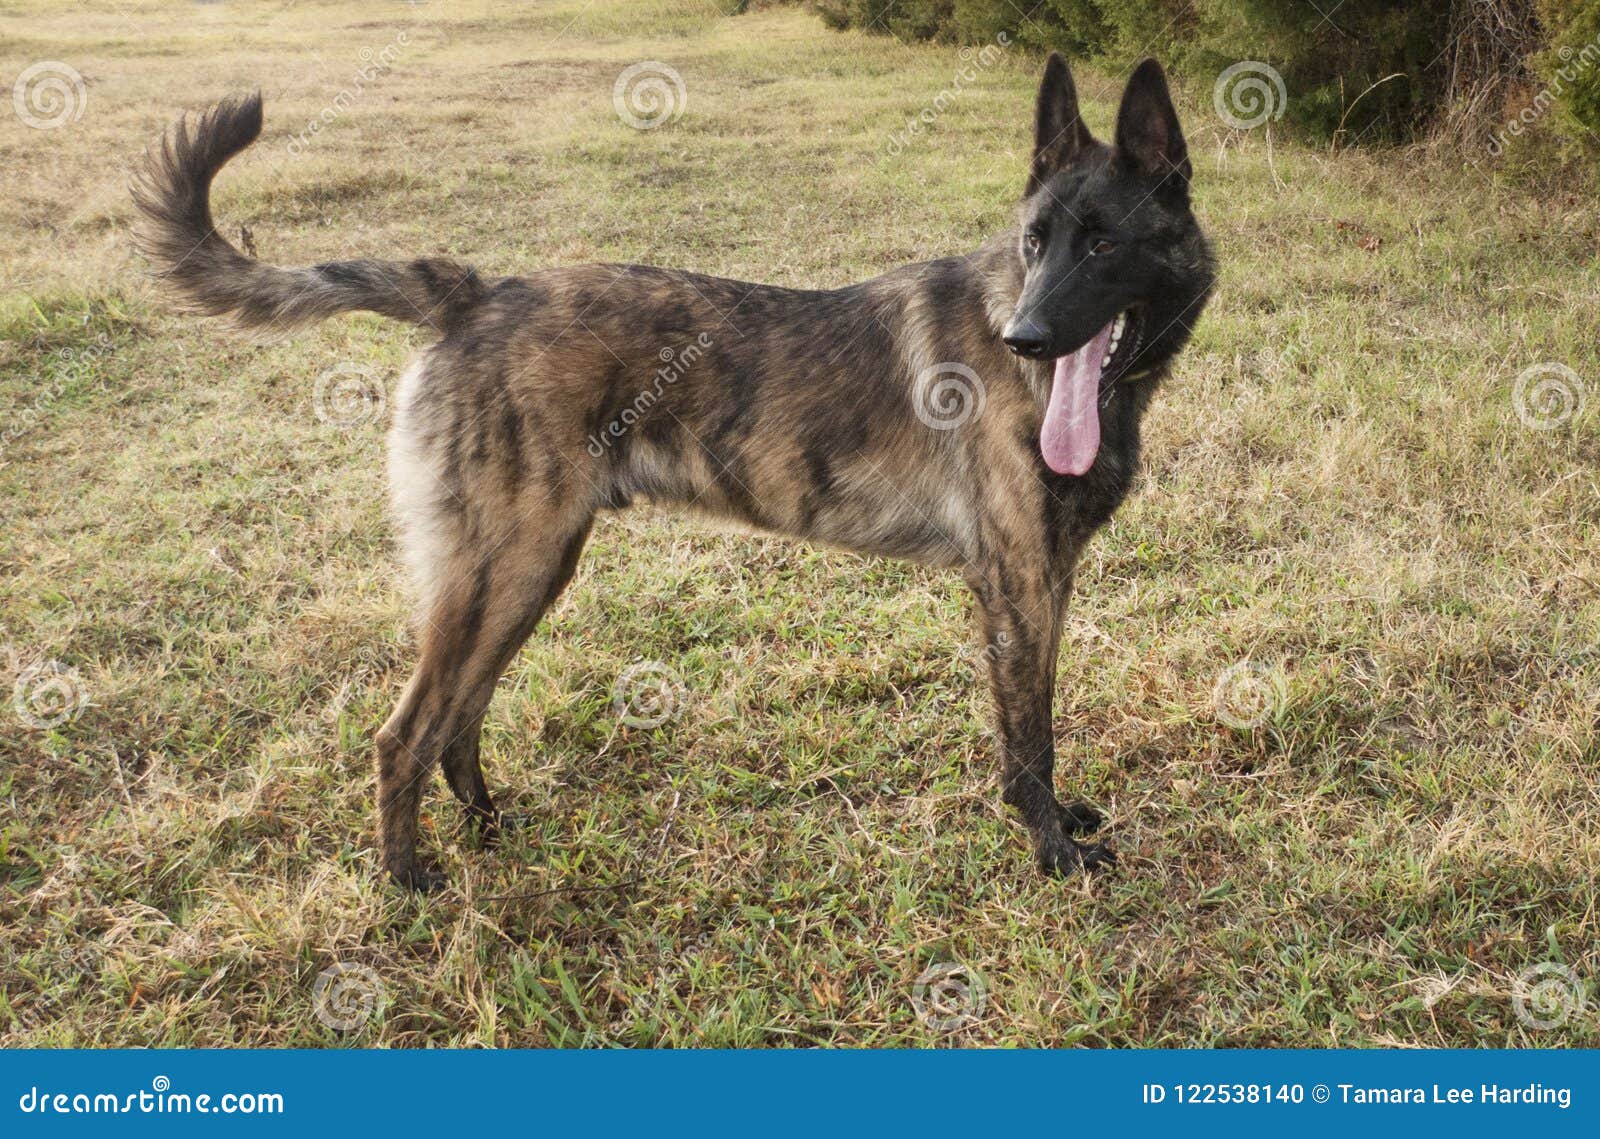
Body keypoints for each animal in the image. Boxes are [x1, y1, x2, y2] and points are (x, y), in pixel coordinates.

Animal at [134, 55, 1209, 889]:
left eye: (1103, 243)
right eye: (1034, 242)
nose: (1023, 334)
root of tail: (474, 295)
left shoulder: (1042, 585)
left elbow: (1040, 732)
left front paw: (1061, 824)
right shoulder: (1020, 590)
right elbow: (1031, 739)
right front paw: (1052, 852)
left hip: (526, 572)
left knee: (460, 716)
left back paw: (488, 828)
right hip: (500, 571)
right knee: (407, 732)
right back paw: (408, 881)